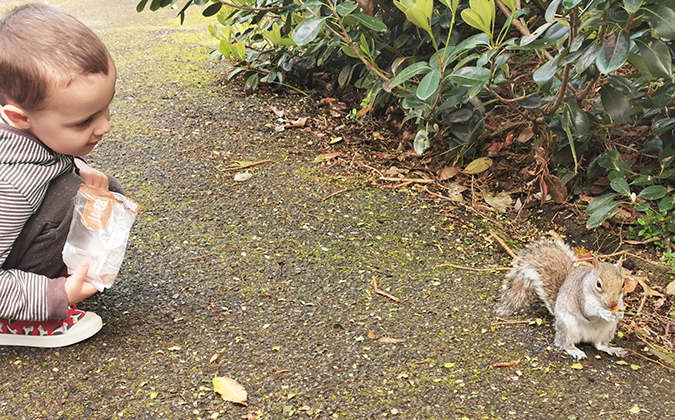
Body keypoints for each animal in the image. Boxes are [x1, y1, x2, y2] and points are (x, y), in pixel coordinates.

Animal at [497, 235, 628, 360]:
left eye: (623, 284)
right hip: (567, 327)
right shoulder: (580, 296)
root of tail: (585, 338)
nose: (612, 304)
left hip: (607, 331)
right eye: (598, 284)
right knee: (564, 343)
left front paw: (621, 313)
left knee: (599, 345)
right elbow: (588, 313)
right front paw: (603, 312)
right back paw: (574, 350)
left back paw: (613, 349)